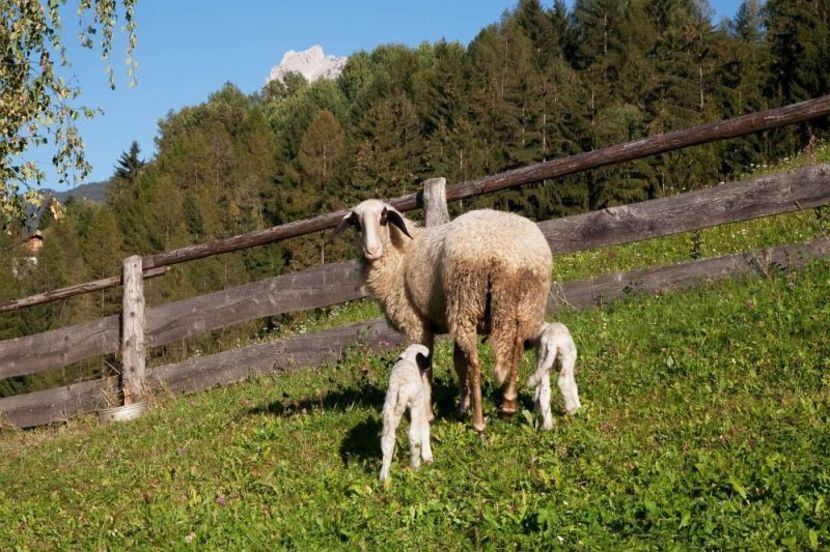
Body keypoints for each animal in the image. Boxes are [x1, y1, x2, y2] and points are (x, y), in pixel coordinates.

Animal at [332, 198, 552, 432]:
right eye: (356, 224)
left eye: (383, 219)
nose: (372, 251)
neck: (401, 256)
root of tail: (508, 258)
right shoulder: (448, 322)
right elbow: (458, 363)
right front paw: (462, 406)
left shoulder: (418, 325)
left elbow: (426, 365)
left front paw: (428, 414)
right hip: (527, 305)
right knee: (517, 348)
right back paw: (508, 404)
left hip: (466, 302)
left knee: (476, 363)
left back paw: (479, 422)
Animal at [380, 344, 436, 484]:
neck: (410, 358)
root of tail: (402, 387)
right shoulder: (420, 403)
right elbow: (425, 427)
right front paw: (428, 456)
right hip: (416, 403)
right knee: (414, 436)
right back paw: (416, 467)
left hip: (389, 405)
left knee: (388, 439)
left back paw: (384, 478)